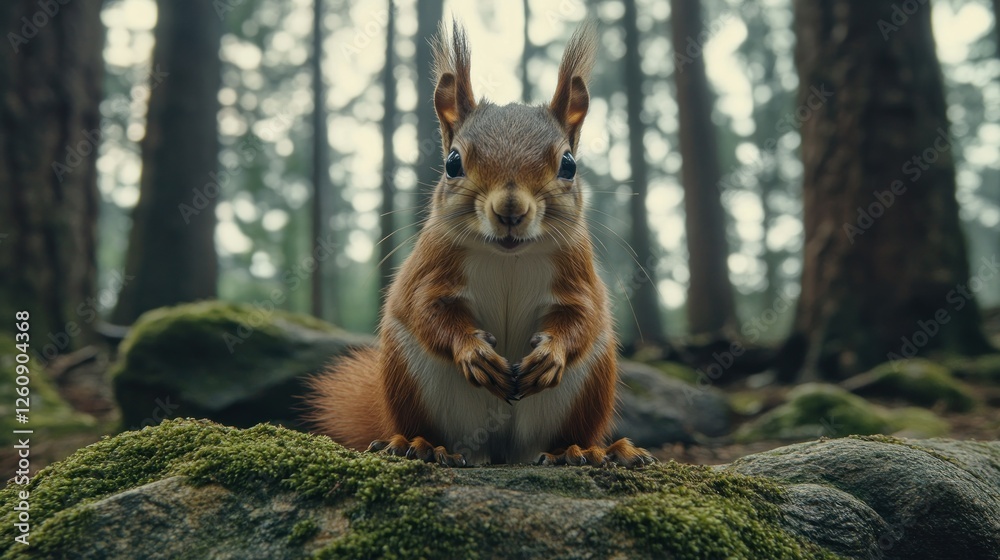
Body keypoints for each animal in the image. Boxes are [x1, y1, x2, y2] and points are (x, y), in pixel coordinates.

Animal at [306, 22, 654, 468]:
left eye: (569, 164)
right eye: (452, 162)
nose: (510, 209)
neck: (508, 257)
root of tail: (501, 452)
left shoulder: (578, 273)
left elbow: (584, 315)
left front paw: (552, 354)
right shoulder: (431, 266)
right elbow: (425, 308)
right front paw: (472, 351)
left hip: (591, 384)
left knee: (565, 432)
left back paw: (588, 450)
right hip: (408, 377)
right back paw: (420, 445)